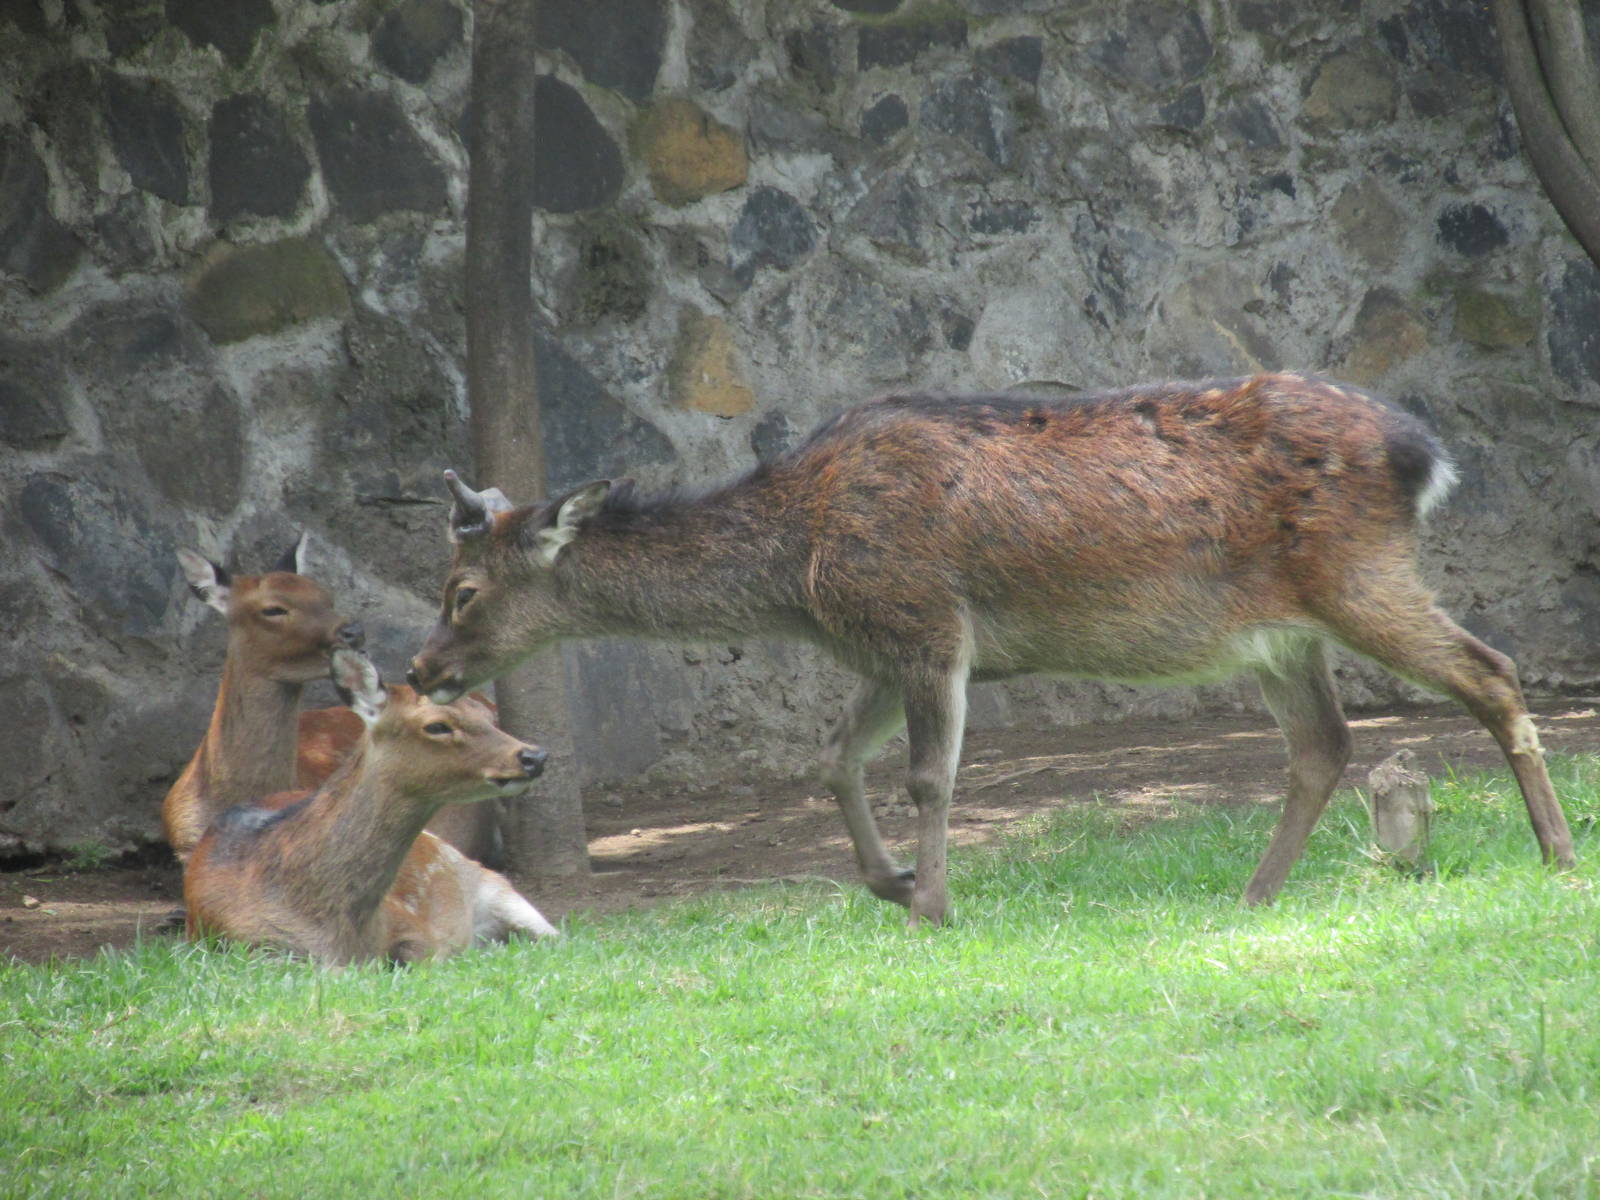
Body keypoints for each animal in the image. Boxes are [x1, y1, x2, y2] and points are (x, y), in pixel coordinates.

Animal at [185, 646, 558, 964]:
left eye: (485, 716)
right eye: (437, 725)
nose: (533, 756)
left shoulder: (411, 925)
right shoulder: (248, 947)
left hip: (495, 885)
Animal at [407, 372, 1576, 928]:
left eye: (460, 591)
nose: (422, 671)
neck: (802, 567)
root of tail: (1422, 454)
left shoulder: (925, 623)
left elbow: (930, 776)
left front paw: (930, 903)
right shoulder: (883, 648)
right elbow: (832, 761)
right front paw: (884, 883)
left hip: (1358, 579)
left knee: (1492, 671)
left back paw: (1559, 854)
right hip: (1276, 635)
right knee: (1325, 744)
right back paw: (1254, 894)